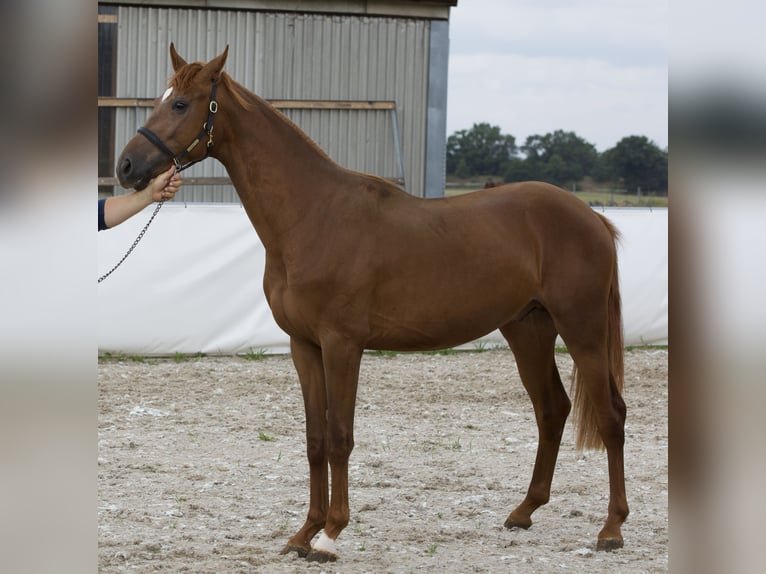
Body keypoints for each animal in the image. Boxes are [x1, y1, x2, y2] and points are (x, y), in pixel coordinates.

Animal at [115, 44, 632, 564]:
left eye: (181, 104)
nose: (126, 167)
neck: (313, 214)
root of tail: (593, 218)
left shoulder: (343, 345)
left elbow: (340, 437)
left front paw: (330, 535)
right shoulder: (304, 346)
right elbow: (315, 440)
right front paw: (303, 533)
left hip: (583, 330)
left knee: (611, 415)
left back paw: (611, 529)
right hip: (528, 329)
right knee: (552, 409)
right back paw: (524, 511)